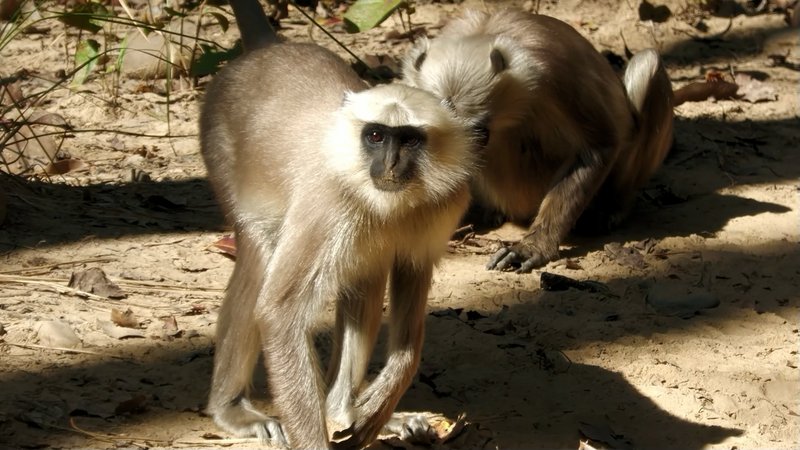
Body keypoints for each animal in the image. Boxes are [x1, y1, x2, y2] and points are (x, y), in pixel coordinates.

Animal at [199, 11, 476, 449]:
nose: (390, 164)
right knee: (260, 259)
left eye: (409, 140)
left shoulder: (445, 203)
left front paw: (379, 407)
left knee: (367, 272)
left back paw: (342, 411)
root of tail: (267, 49)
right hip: (222, 146)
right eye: (376, 136)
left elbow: (410, 283)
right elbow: (279, 312)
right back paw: (231, 408)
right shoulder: (326, 201)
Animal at [402, 7, 674, 273]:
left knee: (648, 63)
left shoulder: (552, 72)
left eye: (477, 134)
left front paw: (534, 246)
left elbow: (598, 146)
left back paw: (613, 208)